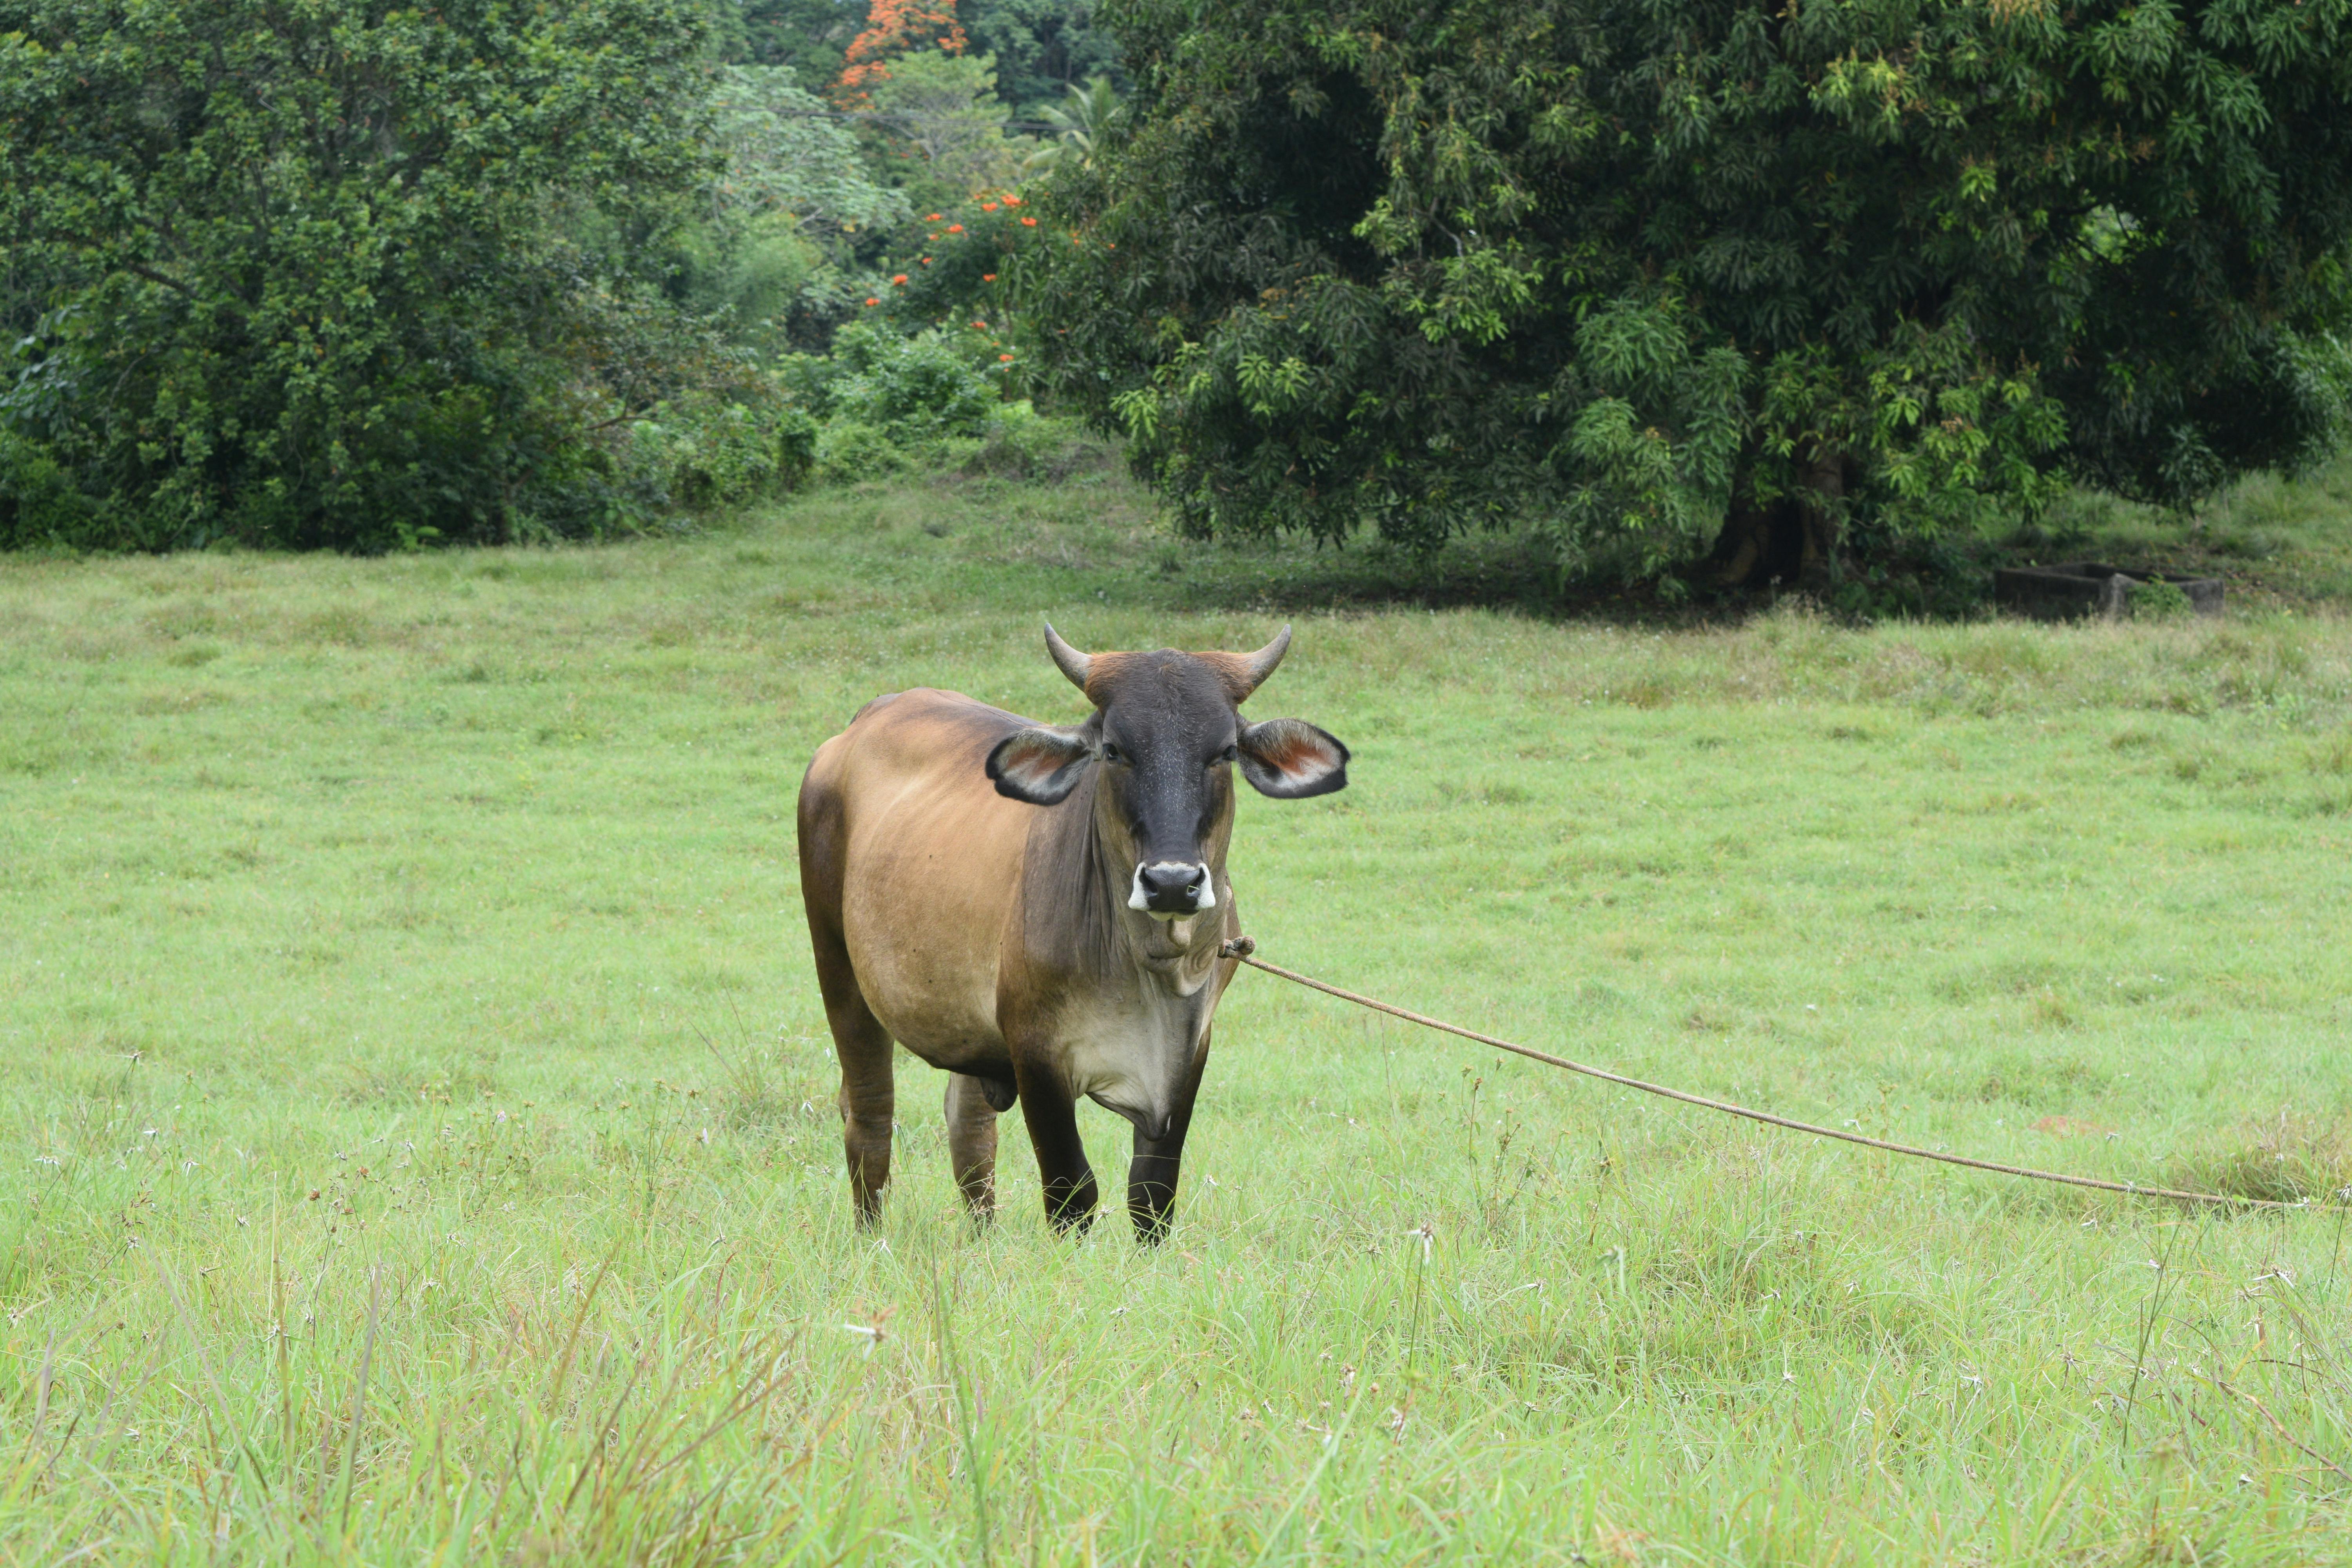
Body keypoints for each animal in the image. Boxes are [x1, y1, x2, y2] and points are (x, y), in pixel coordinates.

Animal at [796, 624, 1349, 1240]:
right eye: (1114, 750)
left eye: (1225, 751)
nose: (1172, 883)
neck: (1152, 967)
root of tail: (863, 721)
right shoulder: (1035, 1050)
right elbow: (1072, 1190)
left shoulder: (1190, 1051)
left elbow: (1152, 1193)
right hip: (838, 969)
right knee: (870, 1113)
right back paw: (874, 1239)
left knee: (968, 1126)